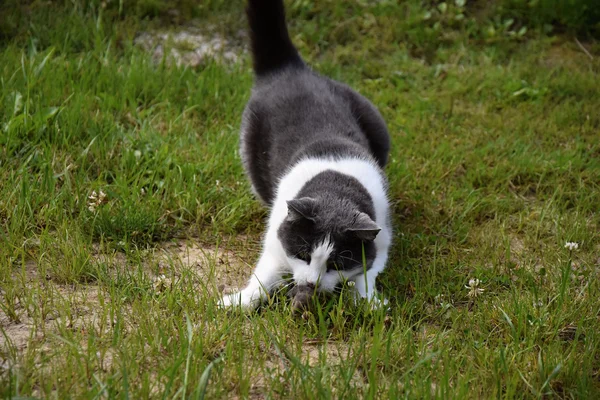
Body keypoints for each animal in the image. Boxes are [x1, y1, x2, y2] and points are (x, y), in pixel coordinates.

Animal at [218, 0, 392, 310]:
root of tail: (291, 68)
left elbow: (367, 273)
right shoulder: (277, 236)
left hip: (378, 127)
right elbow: (264, 274)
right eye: (302, 254)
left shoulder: (381, 240)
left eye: (336, 265)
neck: (336, 189)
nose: (311, 283)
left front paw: (370, 302)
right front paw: (238, 301)